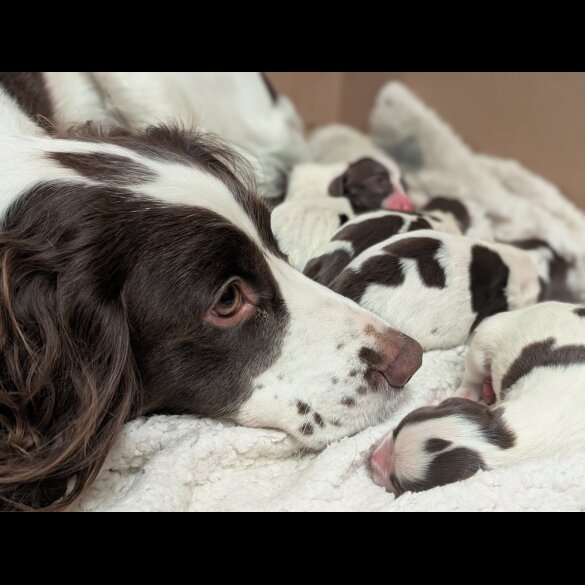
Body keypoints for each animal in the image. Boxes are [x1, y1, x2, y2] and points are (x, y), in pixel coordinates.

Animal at [370, 304, 585, 496]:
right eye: (396, 430)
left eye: (398, 483)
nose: (371, 458)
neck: (494, 441)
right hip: (486, 337)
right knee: (473, 373)